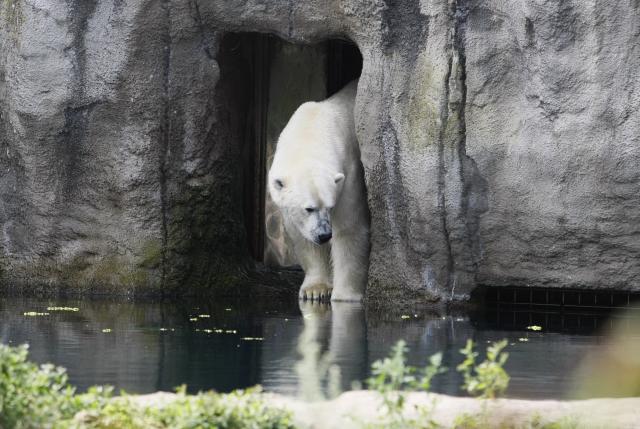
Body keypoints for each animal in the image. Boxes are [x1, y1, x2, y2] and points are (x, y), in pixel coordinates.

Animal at [268, 80, 370, 302]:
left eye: (330, 207)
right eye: (309, 208)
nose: (324, 235)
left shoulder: (349, 174)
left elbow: (349, 229)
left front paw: (345, 296)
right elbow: (302, 235)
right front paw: (315, 290)